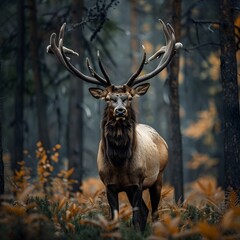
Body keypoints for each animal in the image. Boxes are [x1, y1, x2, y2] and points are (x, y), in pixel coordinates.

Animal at [46, 19, 182, 232]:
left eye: (129, 98)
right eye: (109, 98)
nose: (120, 111)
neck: (119, 163)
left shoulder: (137, 183)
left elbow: (136, 218)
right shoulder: (109, 185)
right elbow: (115, 219)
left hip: (158, 176)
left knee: (154, 212)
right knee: (146, 211)